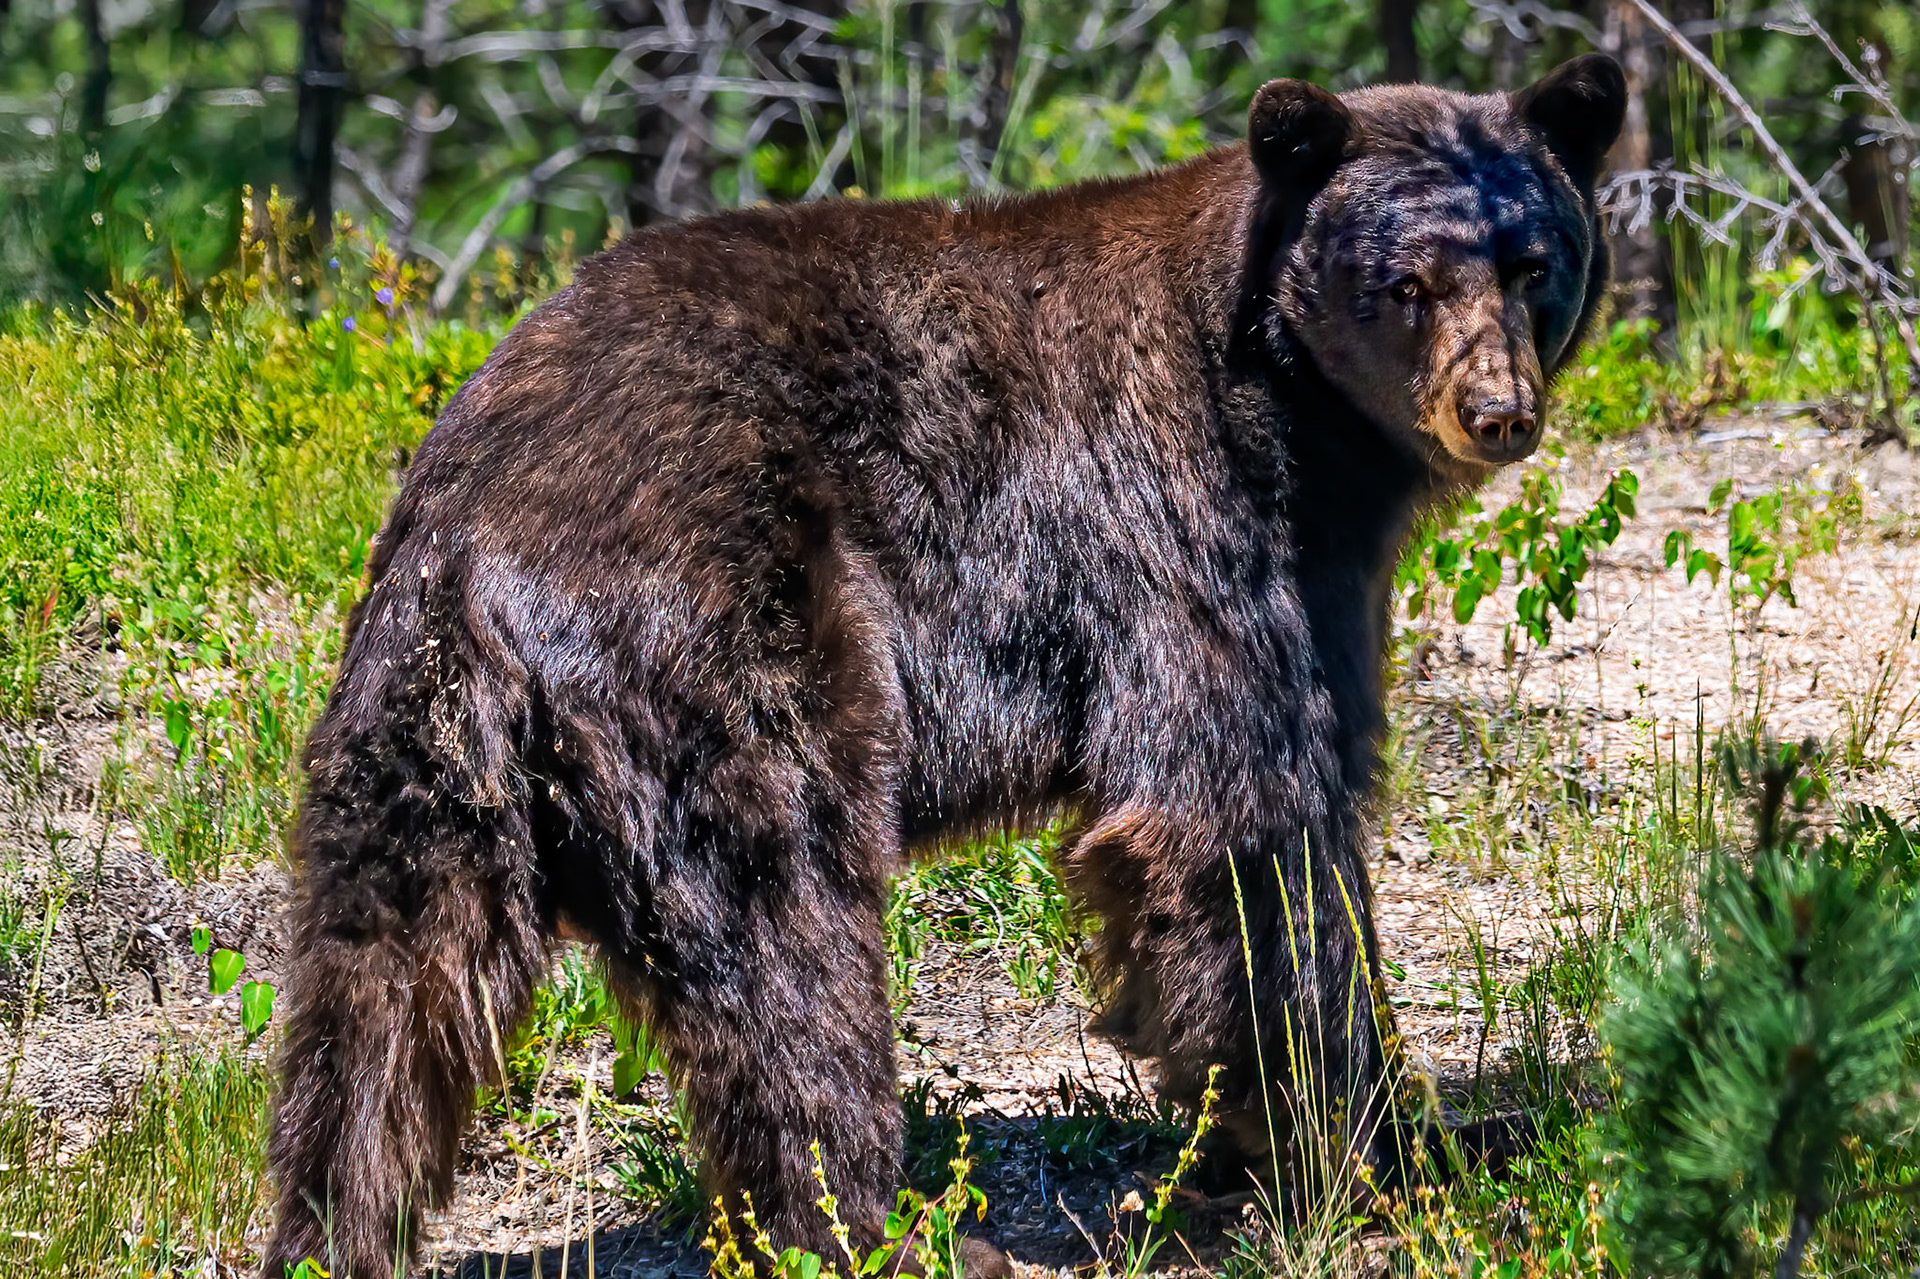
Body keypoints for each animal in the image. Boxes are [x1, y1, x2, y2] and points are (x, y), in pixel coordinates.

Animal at [261, 54, 1626, 1278]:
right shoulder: (1189, 526)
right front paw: (1372, 1144)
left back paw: (331, 1235)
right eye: (1405, 281)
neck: (1300, 419)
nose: (1497, 411)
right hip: (718, 645)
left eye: (1534, 263)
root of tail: (467, 540)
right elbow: (1249, 823)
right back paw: (895, 1229)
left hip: (408, 756)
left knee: (375, 1012)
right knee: (789, 944)